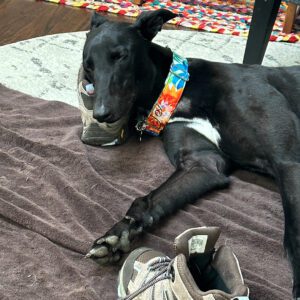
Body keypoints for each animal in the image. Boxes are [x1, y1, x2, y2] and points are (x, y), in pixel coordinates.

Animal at [83, 9, 300, 298]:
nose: (101, 114)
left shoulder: (289, 161)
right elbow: (146, 201)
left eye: (120, 55)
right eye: (88, 66)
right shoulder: (202, 163)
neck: (181, 89)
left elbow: (294, 237)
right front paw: (116, 235)